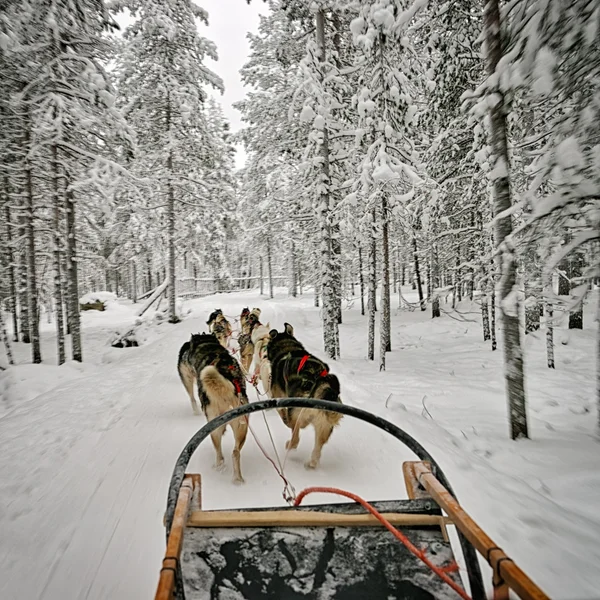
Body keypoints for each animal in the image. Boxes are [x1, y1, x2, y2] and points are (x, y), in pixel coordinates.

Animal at [177, 332, 247, 482]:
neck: (208, 346)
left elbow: (192, 398)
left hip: (213, 427)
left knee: (219, 453)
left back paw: (218, 466)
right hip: (241, 426)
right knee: (235, 452)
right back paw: (237, 479)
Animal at [268, 324, 342, 468]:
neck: (287, 347)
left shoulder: (278, 396)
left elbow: (281, 412)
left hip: (297, 417)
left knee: (295, 438)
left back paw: (290, 447)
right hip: (323, 427)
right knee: (317, 449)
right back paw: (311, 463)